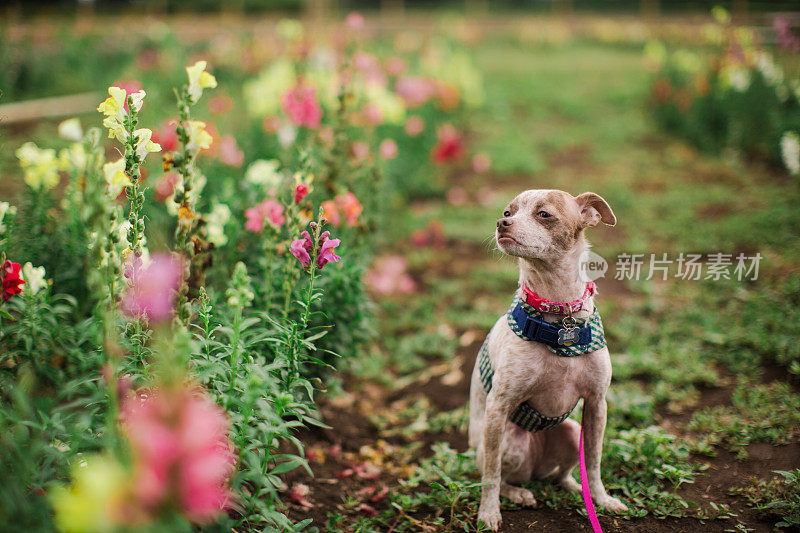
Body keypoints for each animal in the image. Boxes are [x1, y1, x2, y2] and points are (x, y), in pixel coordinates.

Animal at [468, 188, 632, 528]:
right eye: (508, 212)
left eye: (543, 214)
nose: (502, 223)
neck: (557, 315)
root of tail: (536, 470)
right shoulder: (497, 407)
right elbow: (490, 475)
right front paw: (488, 514)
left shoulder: (596, 404)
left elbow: (593, 462)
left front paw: (601, 500)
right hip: (510, 442)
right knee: (501, 476)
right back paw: (519, 494)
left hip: (570, 431)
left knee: (561, 473)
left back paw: (572, 486)